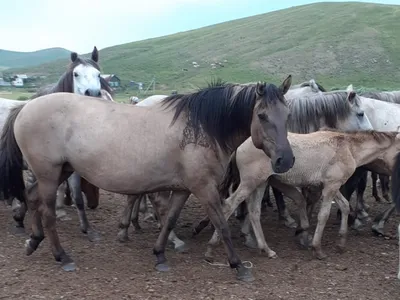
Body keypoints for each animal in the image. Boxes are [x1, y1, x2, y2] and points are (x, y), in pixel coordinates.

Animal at [0, 75, 294, 282]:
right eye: (262, 115)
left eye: (288, 113)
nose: (286, 160)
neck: (201, 128)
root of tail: (25, 107)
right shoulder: (205, 188)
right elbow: (221, 223)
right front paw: (238, 266)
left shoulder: (183, 189)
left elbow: (170, 219)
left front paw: (160, 254)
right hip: (50, 175)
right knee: (47, 211)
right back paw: (62, 256)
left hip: (60, 171)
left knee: (32, 198)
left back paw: (33, 241)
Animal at [5, 46, 114, 241]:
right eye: (76, 74)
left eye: (98, 74)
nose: (93, 94)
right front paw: (22, 218)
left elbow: (78, 197)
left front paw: (87, 228)